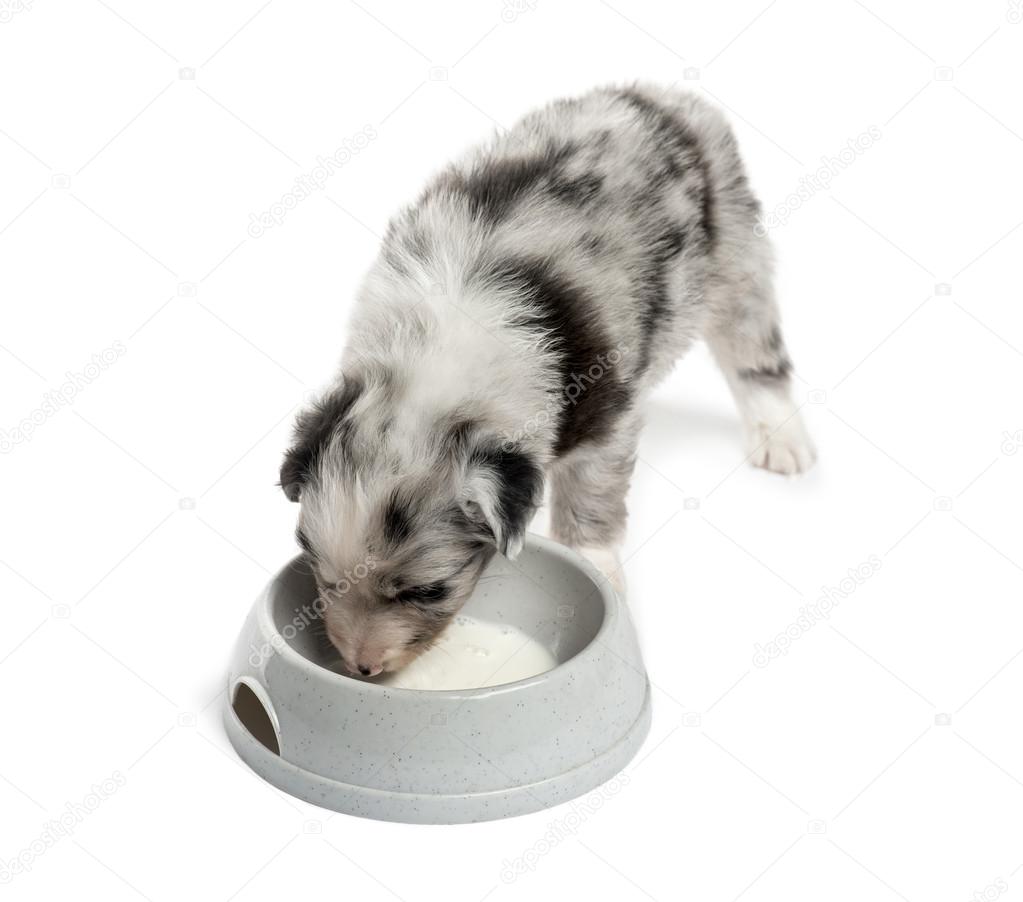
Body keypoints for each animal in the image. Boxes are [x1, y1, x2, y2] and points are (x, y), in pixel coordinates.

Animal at [278, 84, 814, 674]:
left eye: (426, 591)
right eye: (320, 572)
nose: (362, 668)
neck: (437, 350)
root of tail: (666, 97)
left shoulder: (606, 418)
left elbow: (592, 497)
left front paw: (599, 569)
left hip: (737, 259)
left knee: (756, 355)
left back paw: (782, 441)